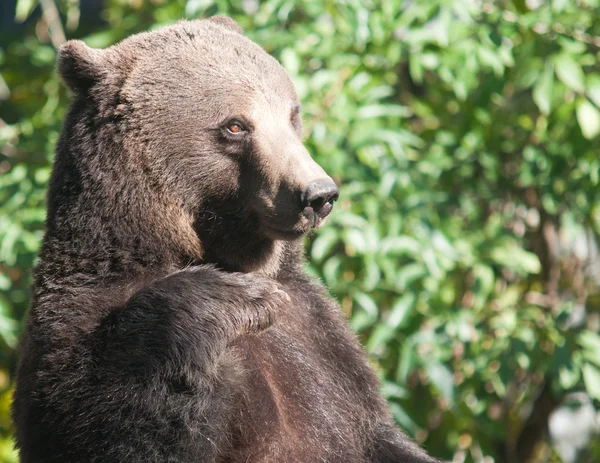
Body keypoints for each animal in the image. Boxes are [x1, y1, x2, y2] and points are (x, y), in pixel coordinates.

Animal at [11, 16, 438, 463]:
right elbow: (110, 422)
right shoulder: (75, 322)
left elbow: (374, 431)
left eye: (291, 114)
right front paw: (243, 298)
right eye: (235, 124)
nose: (318, 194)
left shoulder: (326, 344)